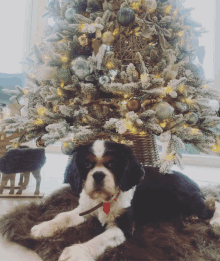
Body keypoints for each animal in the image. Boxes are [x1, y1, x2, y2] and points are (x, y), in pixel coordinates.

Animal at [30, 140, 214, 260]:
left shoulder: (124, 226)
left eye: (112, 164)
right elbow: (64, 216)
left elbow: (100, 239)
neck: (104, 200)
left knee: (208, 208)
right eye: (87, 165)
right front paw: (43, 227)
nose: (98, 175)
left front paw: (77, 252)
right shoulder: (85, 208)